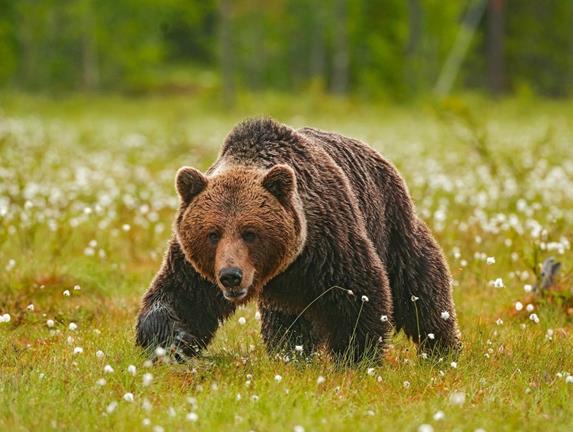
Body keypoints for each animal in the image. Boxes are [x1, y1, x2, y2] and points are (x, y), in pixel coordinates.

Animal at [135, 118, 460, 364]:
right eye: (212, 233)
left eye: (250, 232)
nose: (230, 276)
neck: (284, 264)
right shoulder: (195, 266)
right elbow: (179, 296)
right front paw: (174, 341)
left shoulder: (328, 242)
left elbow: (359, 293)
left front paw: (355, 357)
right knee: (286, 322)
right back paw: (291, 354)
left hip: (391, 223)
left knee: (420, 286)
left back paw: (441, 347)